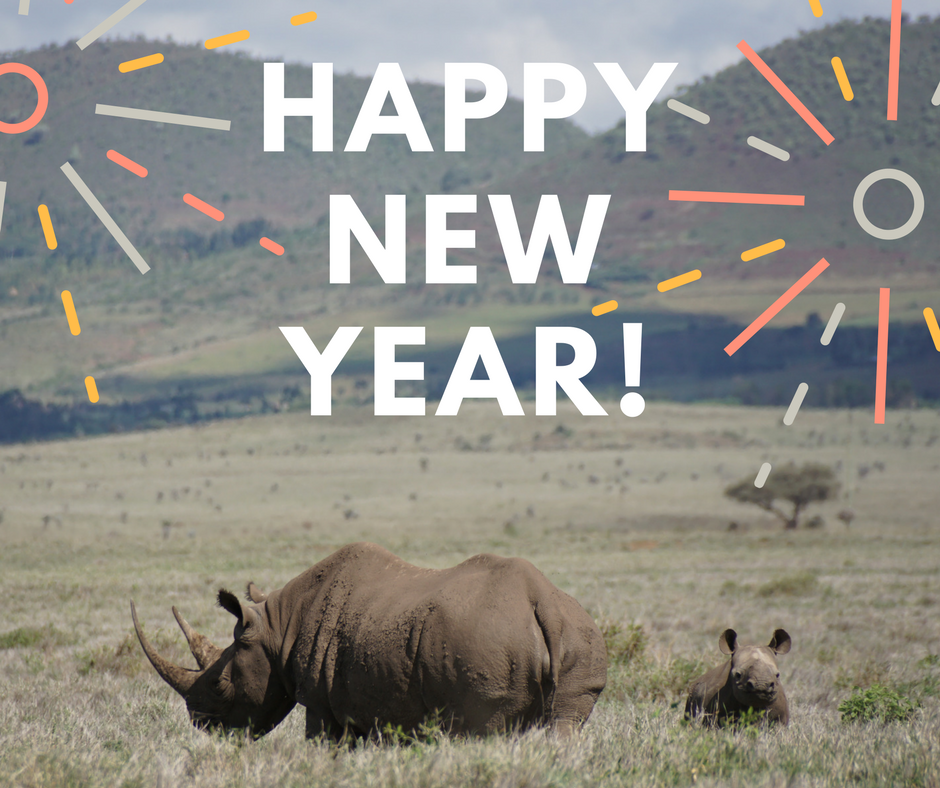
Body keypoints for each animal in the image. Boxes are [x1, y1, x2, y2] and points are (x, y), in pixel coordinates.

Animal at [131, 542, 607, 739]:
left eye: (219, 685)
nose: (201, 725)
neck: (277, 628)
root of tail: (541, 602)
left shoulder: (320, 701)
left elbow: (322, 744)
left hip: (488, 642)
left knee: (487, 730)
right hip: (579, 636)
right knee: (564, 725)